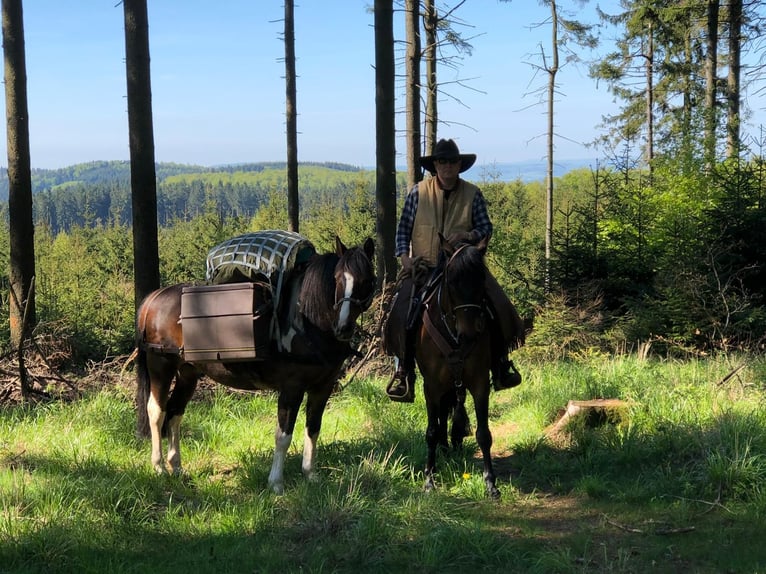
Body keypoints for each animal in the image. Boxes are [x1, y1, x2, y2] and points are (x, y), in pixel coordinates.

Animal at [138, 231, 378, 496]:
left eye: (367, 280)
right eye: (336, 279)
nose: (343, 327)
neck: (308, 320)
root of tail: (155, 299)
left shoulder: (322, 387)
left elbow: (313, 428)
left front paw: (310, 474)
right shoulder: (292, 388)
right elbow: (283, 435)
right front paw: (276, 483)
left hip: (187, 373)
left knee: (175, 412)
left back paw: (177, 466)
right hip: (161, 365)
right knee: (157, 411)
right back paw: (159, 466)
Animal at [416, 236, 500, 502]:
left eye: (482, 279)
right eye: (451, 281)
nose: (470, 333)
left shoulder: (480, 383)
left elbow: (484, 433)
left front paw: (490, 483)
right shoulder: (431, 386)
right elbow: (431, 431)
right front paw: (429, 480)